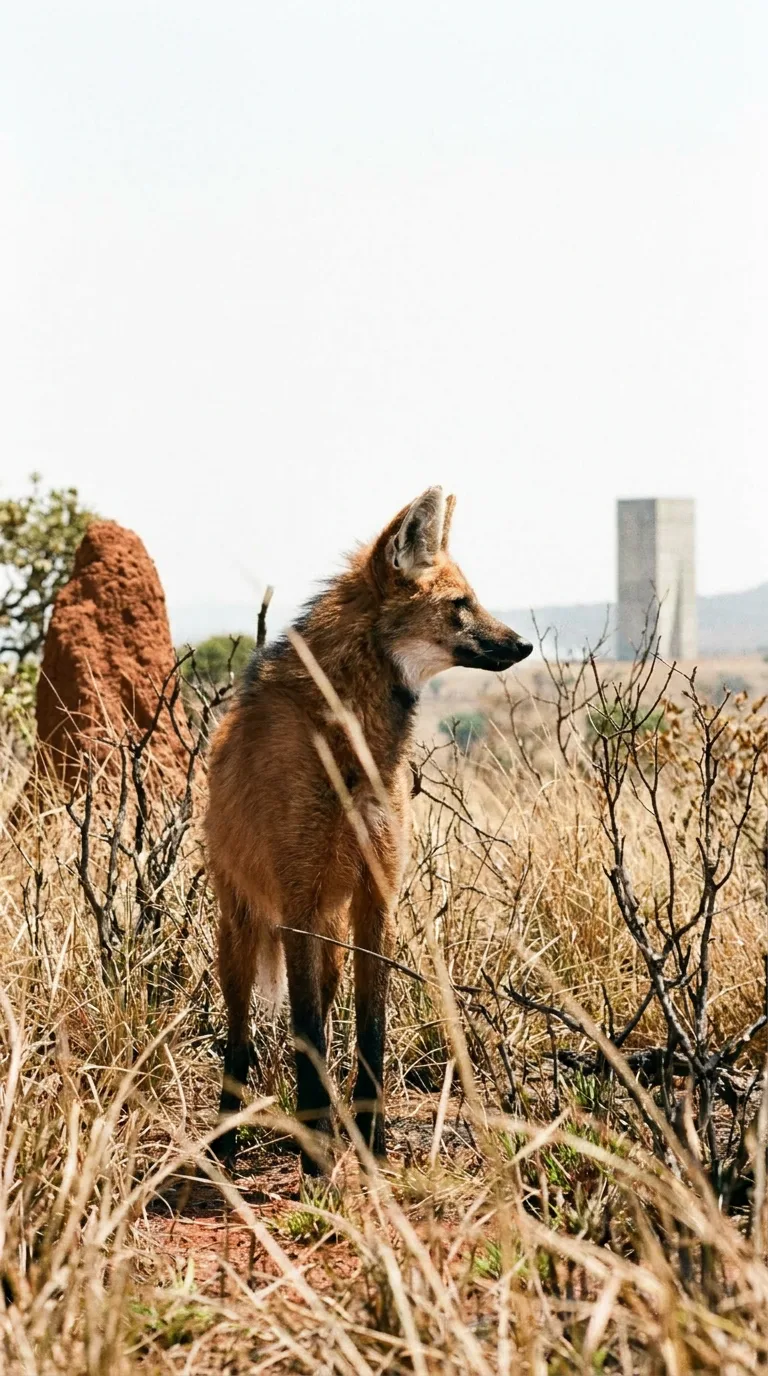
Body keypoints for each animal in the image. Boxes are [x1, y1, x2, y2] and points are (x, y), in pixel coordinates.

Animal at [205, 486, 532, 1169]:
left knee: (325, 1017)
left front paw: (373, 1144)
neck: (355, 743)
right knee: (241, 1035)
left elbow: (369, 1030)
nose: (522, 646)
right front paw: (316, 1164)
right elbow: (303, 1035)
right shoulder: (298, 902)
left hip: (328, 939)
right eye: (460, 605)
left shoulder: (375, 897)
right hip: (243, 931)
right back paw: (226, 1139)